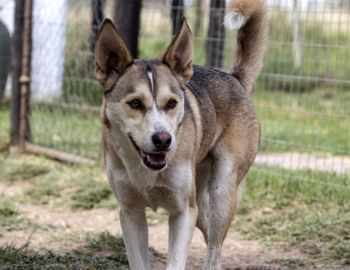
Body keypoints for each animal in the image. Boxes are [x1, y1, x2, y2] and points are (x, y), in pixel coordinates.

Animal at [93, 1, 268, 268]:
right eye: (134, 103)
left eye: (172, 103)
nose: (163, 140)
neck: (146, 171)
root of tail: (234, 78)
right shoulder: (131, 213)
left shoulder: (184, 212)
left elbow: (176, 261)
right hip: (201, 205)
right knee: (212, 240)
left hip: (221, 193)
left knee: (214, 249)